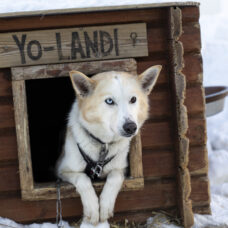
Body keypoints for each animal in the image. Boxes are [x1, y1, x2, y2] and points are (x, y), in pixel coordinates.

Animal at [56, 65, 161, 227]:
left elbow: (114, 176)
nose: (131, 127)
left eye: (133, 99)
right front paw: (92, 209)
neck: (103, 145)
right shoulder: (62, 170)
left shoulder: (122, 168)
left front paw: (105, 206)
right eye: (110, 101)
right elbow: (83, 178)